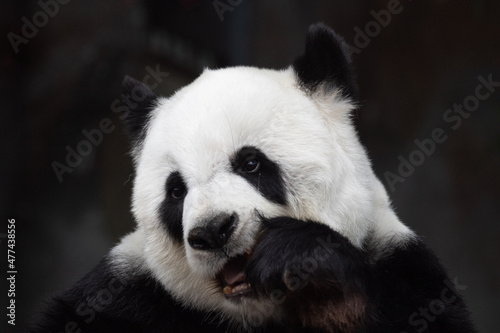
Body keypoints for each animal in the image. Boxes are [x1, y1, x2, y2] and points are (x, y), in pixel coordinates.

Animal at [32, 23, 476, 332]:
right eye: (176, 191)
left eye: (250, 164)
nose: (213, 231)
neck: (256, 309)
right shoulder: (125, 293)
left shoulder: (402, 268)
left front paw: (305, 266)